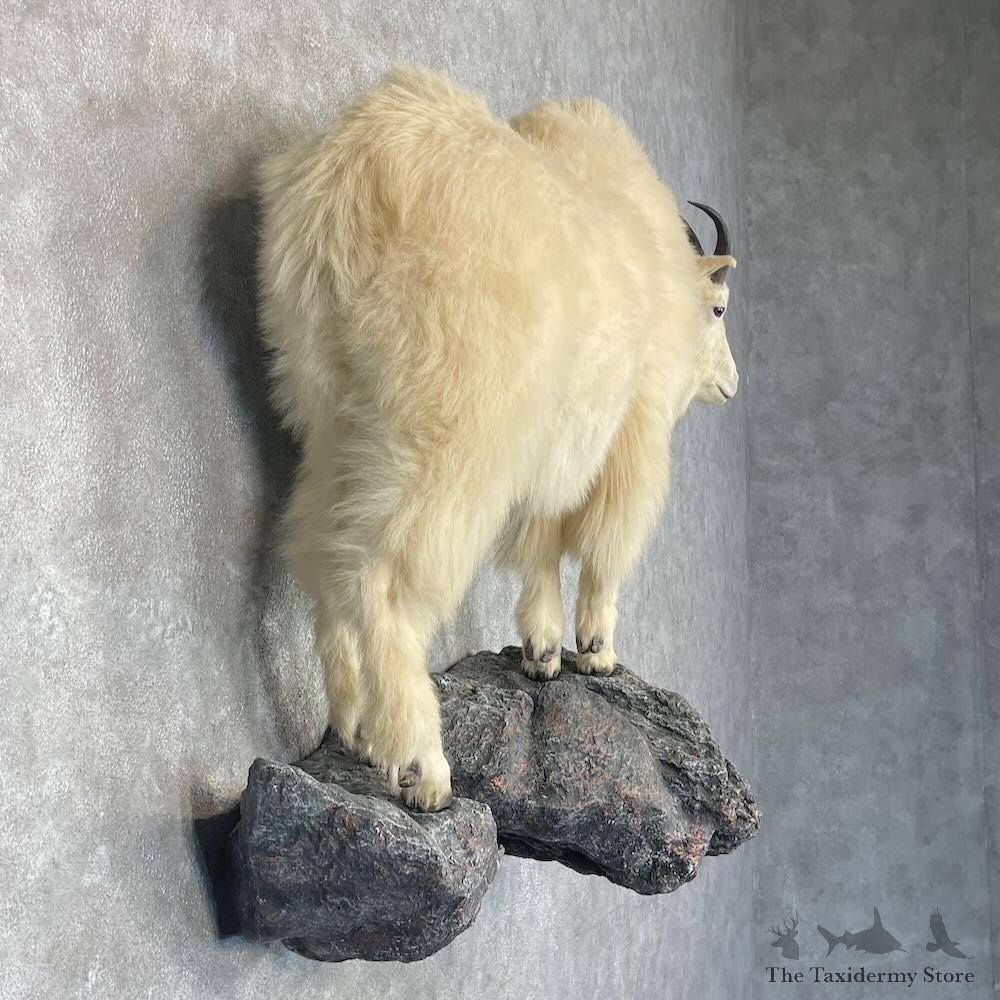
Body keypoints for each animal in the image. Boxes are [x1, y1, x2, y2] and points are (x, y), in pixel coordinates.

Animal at [257, 65, 739, 811]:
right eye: (718, 309)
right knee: (384, 580)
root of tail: (353, 185)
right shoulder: (630, 435)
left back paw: (357, 726)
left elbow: (538, 541)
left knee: (321, 551)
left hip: (336, 419)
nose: (732, 383)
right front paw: (594, 650)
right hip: (447, 434)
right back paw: (421, 766)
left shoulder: (547, 444)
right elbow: (606, 543)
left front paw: (542, 653)